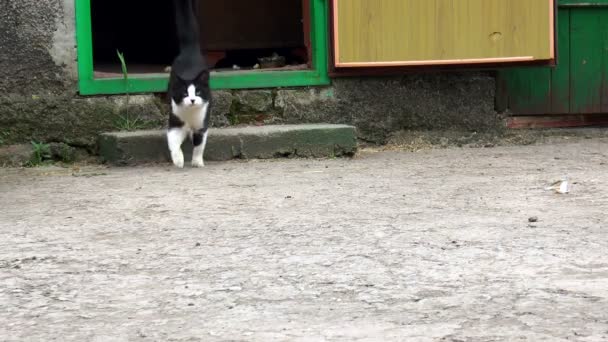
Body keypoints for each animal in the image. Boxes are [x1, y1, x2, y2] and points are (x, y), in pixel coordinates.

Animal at [167, 0, 213, 168]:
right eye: (185, 93)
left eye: (198, 92)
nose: (192, 100)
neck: (190, 115)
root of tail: (189, 50)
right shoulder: (175, 122)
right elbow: (173, 143)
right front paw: (178, 160)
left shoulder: (201, 125)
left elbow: (199, 145)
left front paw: (197, 161)